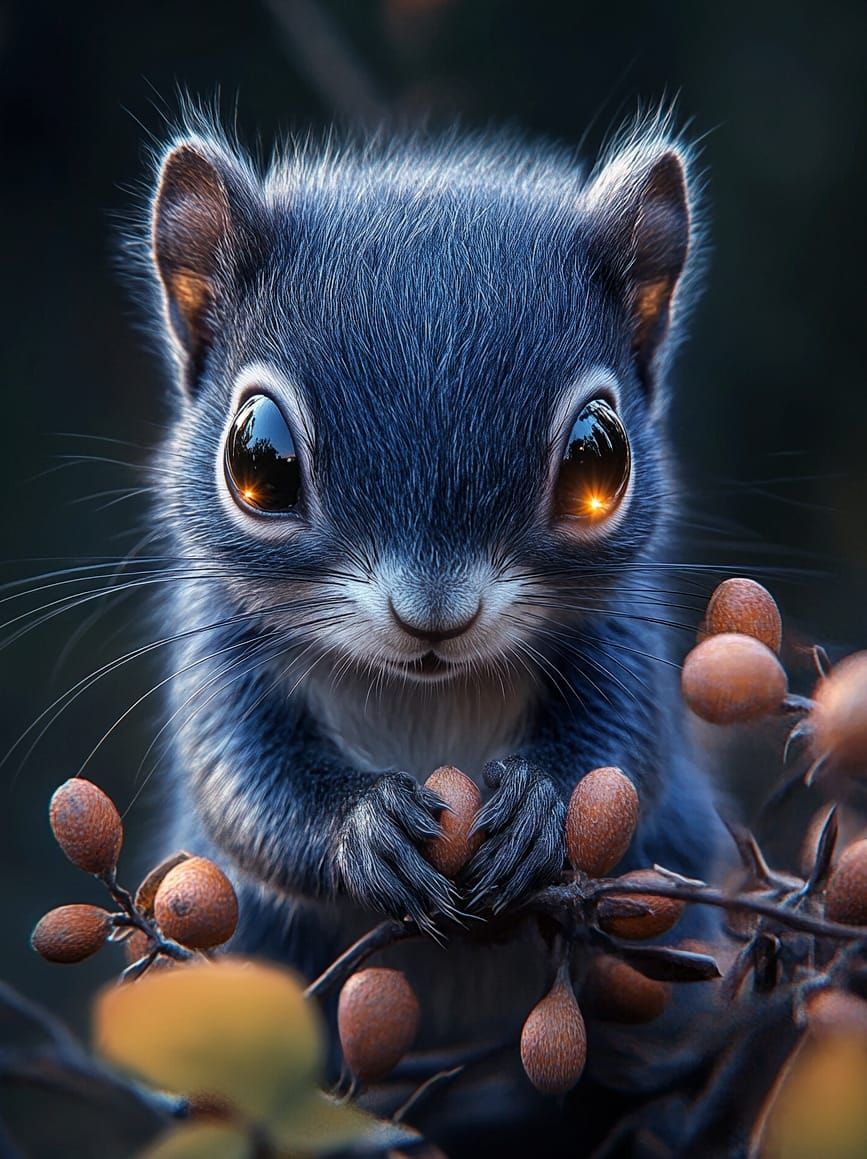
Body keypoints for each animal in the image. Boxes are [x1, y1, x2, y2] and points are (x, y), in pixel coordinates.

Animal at [144, 112, 727, 1107]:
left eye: (598, 457)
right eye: (258, 460)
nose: (432, 616)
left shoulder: (619, 640)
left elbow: (624, 749)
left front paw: (537, 810)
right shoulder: (222, 650)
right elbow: (242, 779)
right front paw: (363, 828)